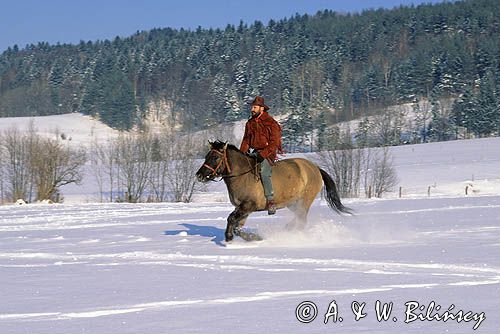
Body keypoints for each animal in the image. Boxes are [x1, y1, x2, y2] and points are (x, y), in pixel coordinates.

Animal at [195, 141, 352, 243]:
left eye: (215, 157)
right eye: (206, 156)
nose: (199, 175)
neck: (242, 176)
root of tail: (315, 168)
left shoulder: (248, 206)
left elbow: (231, 219)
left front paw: (228, 237)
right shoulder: (243, 209)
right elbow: (237, 227)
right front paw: (255, 238)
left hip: (304, 201)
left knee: (302, 220)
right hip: (293, 203)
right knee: (299, 219)